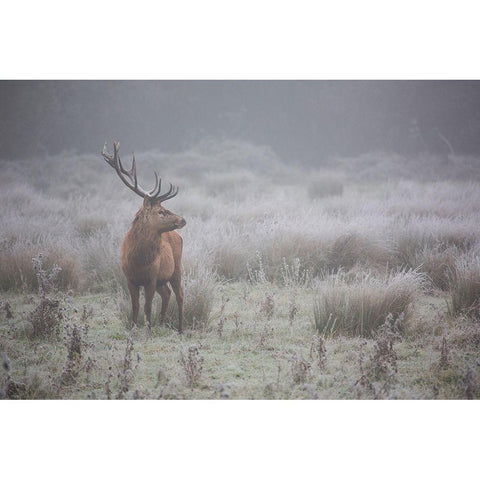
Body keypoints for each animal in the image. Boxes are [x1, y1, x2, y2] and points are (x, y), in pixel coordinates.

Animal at [101, 140, 186, 334]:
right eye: (161, 211)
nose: (182, 219)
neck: (138, 260)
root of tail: (178, 236)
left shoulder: (152, 277)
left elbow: (147, 306)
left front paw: (148, 331)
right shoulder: (130, 278)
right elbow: (135, 306)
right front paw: (134, 329)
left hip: (176, 267)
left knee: (179, 295)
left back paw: (180, 328)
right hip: (164, 279)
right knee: (167, 294)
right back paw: (162, 323)